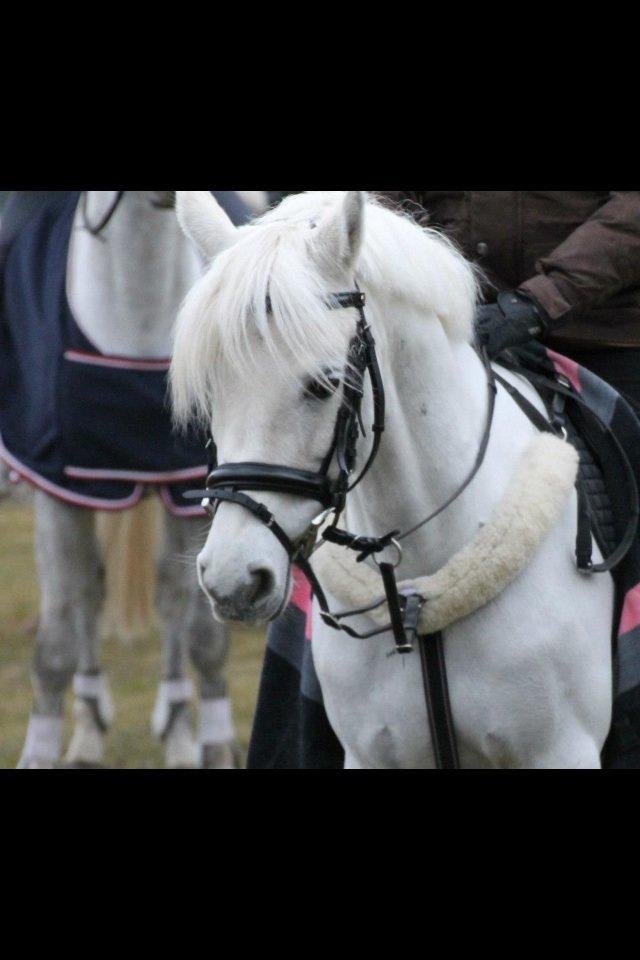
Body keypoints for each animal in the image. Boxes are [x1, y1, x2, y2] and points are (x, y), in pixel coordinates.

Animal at [171, 191, 616, 768]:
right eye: (210, 389)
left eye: (324, 384)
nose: (234, 581)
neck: (417, 598)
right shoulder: (372, 755)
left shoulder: (560, 750)